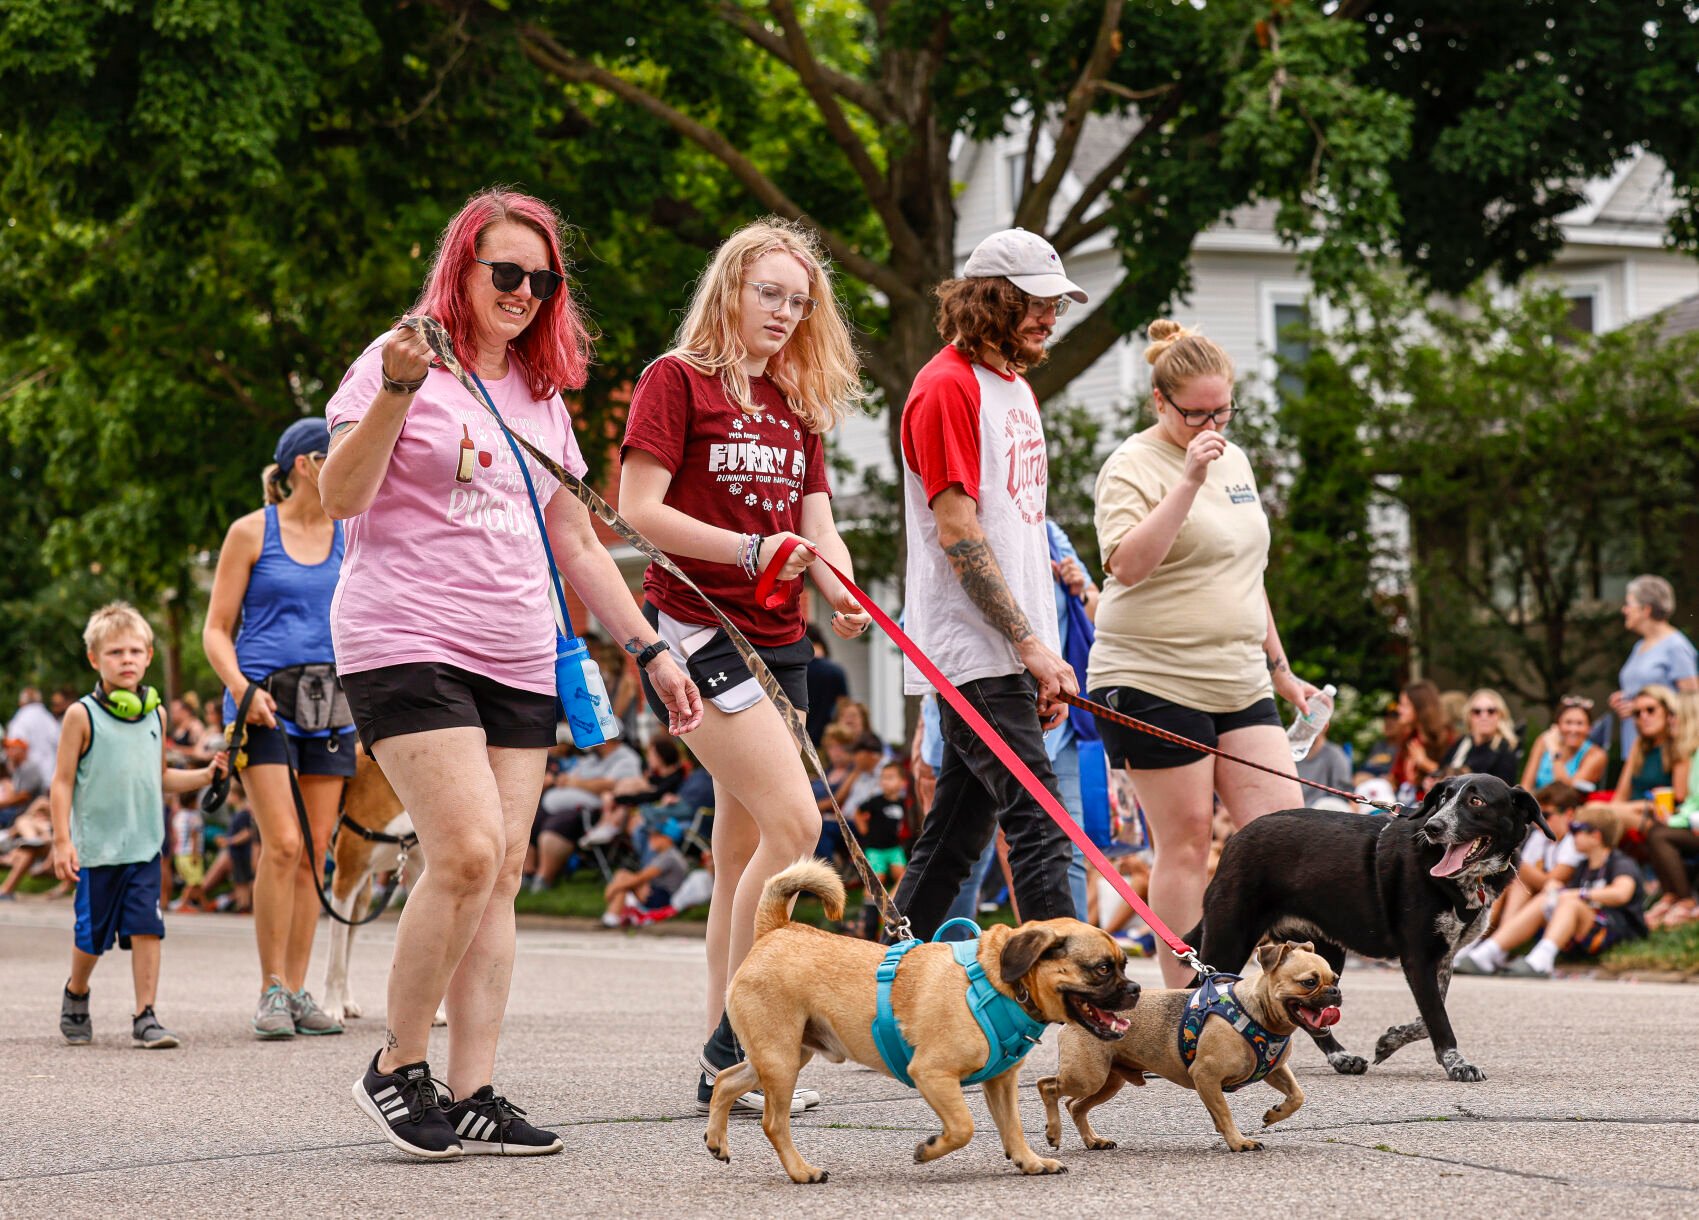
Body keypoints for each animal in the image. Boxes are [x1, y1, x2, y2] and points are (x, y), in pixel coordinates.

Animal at [703, 859, 1141, 1182]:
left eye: (1124, 964)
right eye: (1103, 969)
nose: (1135, 988)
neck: (999, 980)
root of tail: (775, 930)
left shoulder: (1001, 1083)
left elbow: (1012, 1127)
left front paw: (1029, 1162)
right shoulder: (933, 1075)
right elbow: (963, 1127)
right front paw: (929, 1150)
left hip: (785, 1055)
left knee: (726, 1080)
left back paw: (716, 1140)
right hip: (780, 1058)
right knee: (773, 1123)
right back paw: (801, 1172)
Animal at [1032, 944, 1338, 1155]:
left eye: (1335, 978)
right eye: (1309, 982)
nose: (1335, 992)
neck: (1258, 1014)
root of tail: (1084, 1012)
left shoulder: (1274, 1069)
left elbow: (1297, 1096)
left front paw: (1274, 1114)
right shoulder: (1206, 1076)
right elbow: (1224, 1113)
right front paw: (1238, 1141)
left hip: (1109, 1081)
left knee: (1074, 1105)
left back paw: (1093, 1140)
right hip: (1087, 1076)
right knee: (1048, 1085)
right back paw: (1054, 1132)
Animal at [1189, 778, 1549, 1087]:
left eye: (1476, 801)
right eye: (1443, 798)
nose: (1433, 827)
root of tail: (1234, 839)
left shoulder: (1443, 958)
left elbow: (1429, 1015)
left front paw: (1391, 1039)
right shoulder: (1417, 957)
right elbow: (1438, 1017)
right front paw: (1457, 1064)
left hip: (1324, 958)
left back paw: (1340, 1057)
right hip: (1230, 940)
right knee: (1196, 990)